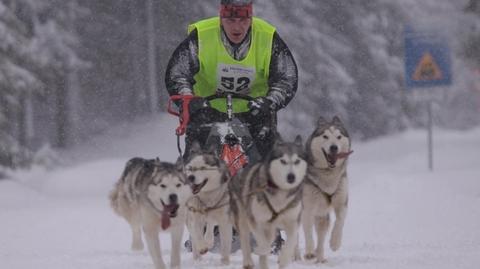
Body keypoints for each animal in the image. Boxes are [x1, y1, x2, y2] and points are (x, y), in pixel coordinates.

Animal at [230, 136, 306, 268]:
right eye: (283, 161)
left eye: (297, 161)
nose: (291, 177)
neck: (280, 194)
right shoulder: (255, 220)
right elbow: (264, 244)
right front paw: (260, 250)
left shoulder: (292, 222)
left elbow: (290, 242)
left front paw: (284, 258)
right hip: (243, 219)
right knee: (245, 239)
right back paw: (248, 261)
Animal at [304, 115, 352, 262]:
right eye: (325, 136)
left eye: (338, 136)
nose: (334, 147)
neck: (328, 176)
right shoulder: (307, 208)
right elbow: (308, 231)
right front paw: (309, 252)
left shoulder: (342, 202)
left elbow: (340, 221)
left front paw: (335, 242)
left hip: (322, 217)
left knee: (321, 236)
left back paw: (320, 257)